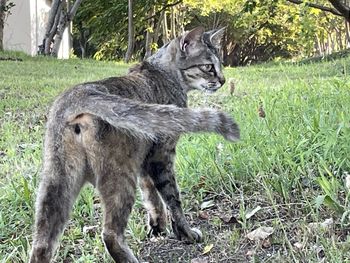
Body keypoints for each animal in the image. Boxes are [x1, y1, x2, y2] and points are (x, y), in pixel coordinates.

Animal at [30, 27, 239, 263]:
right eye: (209, 67)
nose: (223, 80)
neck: (163, 72)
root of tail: (79, 95)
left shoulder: (144, 163)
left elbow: (152, 199)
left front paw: (158, 228)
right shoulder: (162, 156)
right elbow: (172, 200)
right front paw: (185, 233)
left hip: (56, 184)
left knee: (41, 245)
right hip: (121, 179)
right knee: (111, 234)